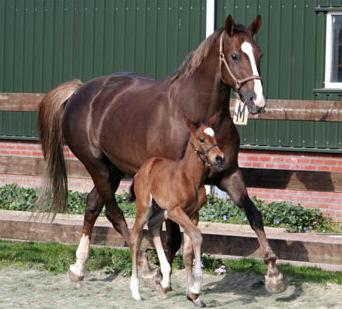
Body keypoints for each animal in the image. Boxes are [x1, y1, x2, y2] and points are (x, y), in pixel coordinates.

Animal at [130, 116, 223, 306]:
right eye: (201, 139)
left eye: (215, 137)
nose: (219, 158)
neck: (190, 178)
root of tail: (144, 167)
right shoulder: (176, 211)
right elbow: (197, 236)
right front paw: (196, 288)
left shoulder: (193, 214)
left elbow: (187, 253)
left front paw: (193, 296)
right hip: (146, 207)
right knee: (135, 235)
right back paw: (135, 290)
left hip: (161, 210)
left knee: (153, 226)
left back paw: (165, 279)